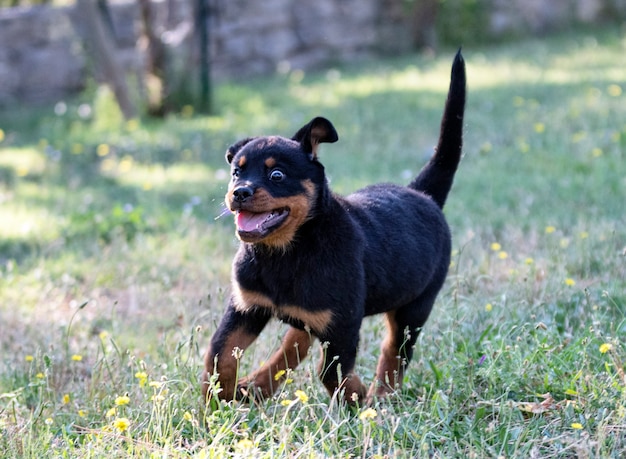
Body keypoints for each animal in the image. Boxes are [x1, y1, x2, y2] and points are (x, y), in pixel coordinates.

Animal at [202, 49, 466, 402]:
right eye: (236, 172)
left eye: (276, 175)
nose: (239, 193)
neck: (285, 252)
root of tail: (422, 194)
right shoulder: (247, 306)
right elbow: (219, 353)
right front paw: (221, 397)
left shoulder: (342, 324)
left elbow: (331, 372)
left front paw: (358, 398)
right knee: (297, 340)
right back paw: (258, 385)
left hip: (414, 307)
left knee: (393, 353)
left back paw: (382, 398)